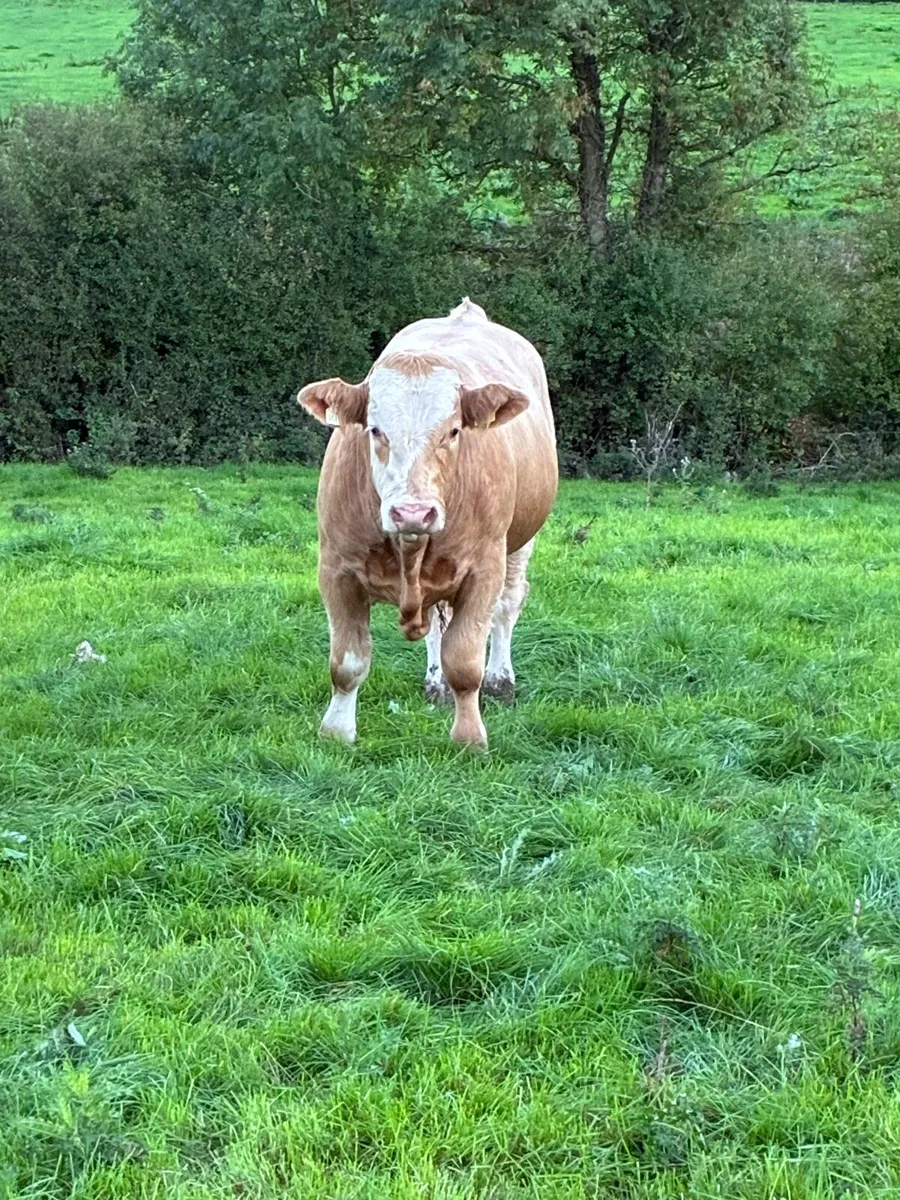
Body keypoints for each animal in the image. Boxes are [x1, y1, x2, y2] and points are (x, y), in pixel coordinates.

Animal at [297, 298, 558, 749]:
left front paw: (469, 738)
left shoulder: (484, 569)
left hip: (523, 539)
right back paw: (436, 684)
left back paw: (501, 679)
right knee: (438, 622)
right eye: (375, 429)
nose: (413, 512)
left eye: (453, 431)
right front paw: (337, 732)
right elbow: (347, 662)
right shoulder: (335, 568)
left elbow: (466, 661)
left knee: (508, 607)